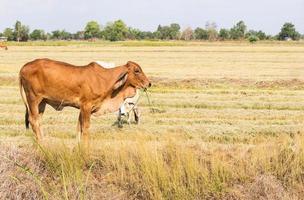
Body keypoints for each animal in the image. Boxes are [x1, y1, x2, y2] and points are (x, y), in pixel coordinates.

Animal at [19, 58, 151, 146]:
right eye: (137, 70)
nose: (148, 83)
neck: (104, 79)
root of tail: (24, 67)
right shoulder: (86, 106)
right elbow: (85, 127)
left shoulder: (83, 109)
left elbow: (79, 127)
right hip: (33, 99)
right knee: (33, 121)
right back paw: (41, 145)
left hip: (42, 103)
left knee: (38, 122)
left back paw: (42, 142)